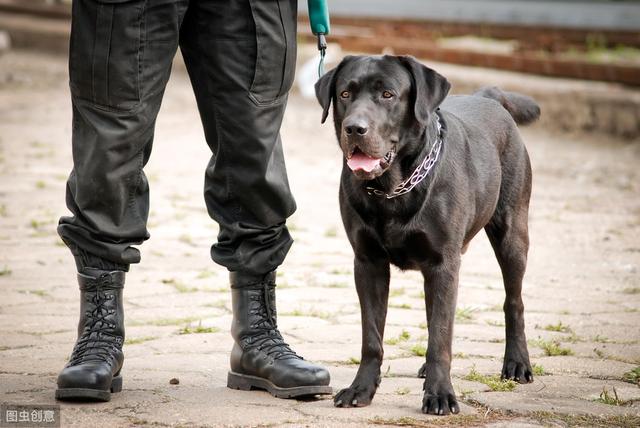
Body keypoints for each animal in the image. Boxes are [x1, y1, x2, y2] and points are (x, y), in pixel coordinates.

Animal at [316, 56, 540, 414]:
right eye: (345, 94)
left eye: (388, 94)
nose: (354, 128)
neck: (392, 188)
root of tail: (488, 96)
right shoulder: (367, 262)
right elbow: (373, 337)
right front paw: (361, 389)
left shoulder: (443, 263)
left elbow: (441, 336)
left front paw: (440, 394)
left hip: (512, 233)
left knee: (513, 301)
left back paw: (517, 363)